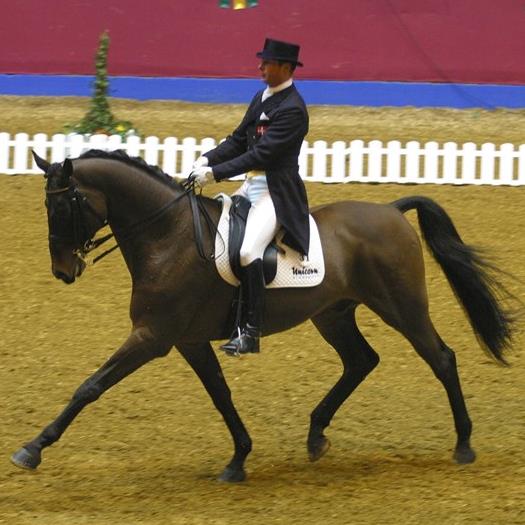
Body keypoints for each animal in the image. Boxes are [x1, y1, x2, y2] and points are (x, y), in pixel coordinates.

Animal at [11, 149, 512, 482]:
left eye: (63, 205)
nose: (63, 271)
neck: (168, 235)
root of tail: (390, 211)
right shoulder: (187, 340)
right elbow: (221, 395)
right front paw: (238, 460)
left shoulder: (152, 336)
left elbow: (90, 386)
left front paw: (32, 449)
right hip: (332, 314)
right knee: (360, 361)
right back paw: (316, 435)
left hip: (402, 307)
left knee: (441, 358)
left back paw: (464, 445)